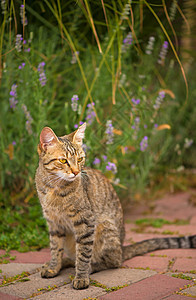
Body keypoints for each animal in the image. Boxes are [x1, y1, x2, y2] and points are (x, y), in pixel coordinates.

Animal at [35, 123, 196, 290]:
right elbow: (55, 248)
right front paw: (54, 267)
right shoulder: (54, 223)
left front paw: (81, 277)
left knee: (113, 261)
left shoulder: (86, 222)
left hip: (105, 227)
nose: (76, 171)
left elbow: (84, 254)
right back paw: (65, 262)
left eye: (80, 159)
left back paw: (90, 266)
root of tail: (122, 247)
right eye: (63, 160)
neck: (54, 188)